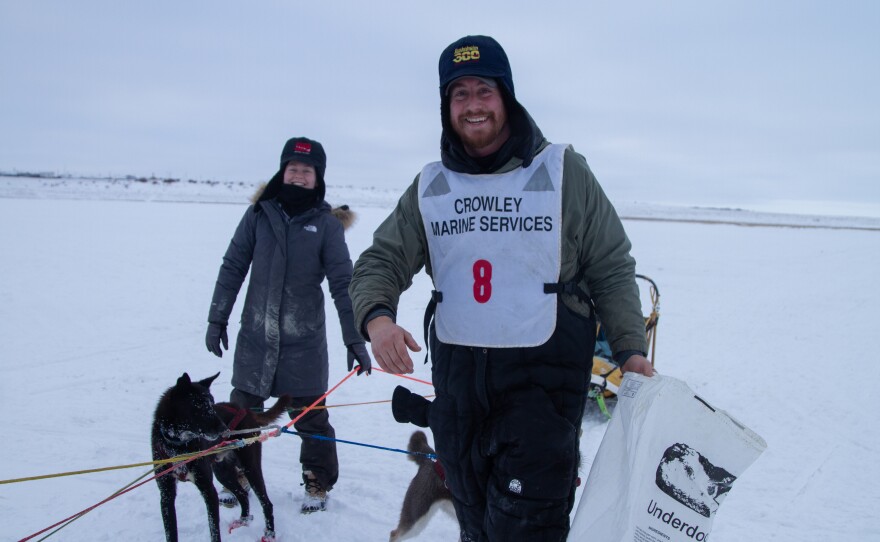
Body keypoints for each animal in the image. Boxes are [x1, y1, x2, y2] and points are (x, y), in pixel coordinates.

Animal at [150, 374, 290, 542]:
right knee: (243, 495)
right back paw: (243, 521)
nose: (225, 430)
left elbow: (214, 530)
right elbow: (170, 533)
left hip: (250, 468)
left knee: (267, 503)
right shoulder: (166, 495)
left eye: (212, 404)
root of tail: (245, 410)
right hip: (223, 473)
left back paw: (269, 534)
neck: (178, 447)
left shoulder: (208, 491)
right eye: (199, 405)